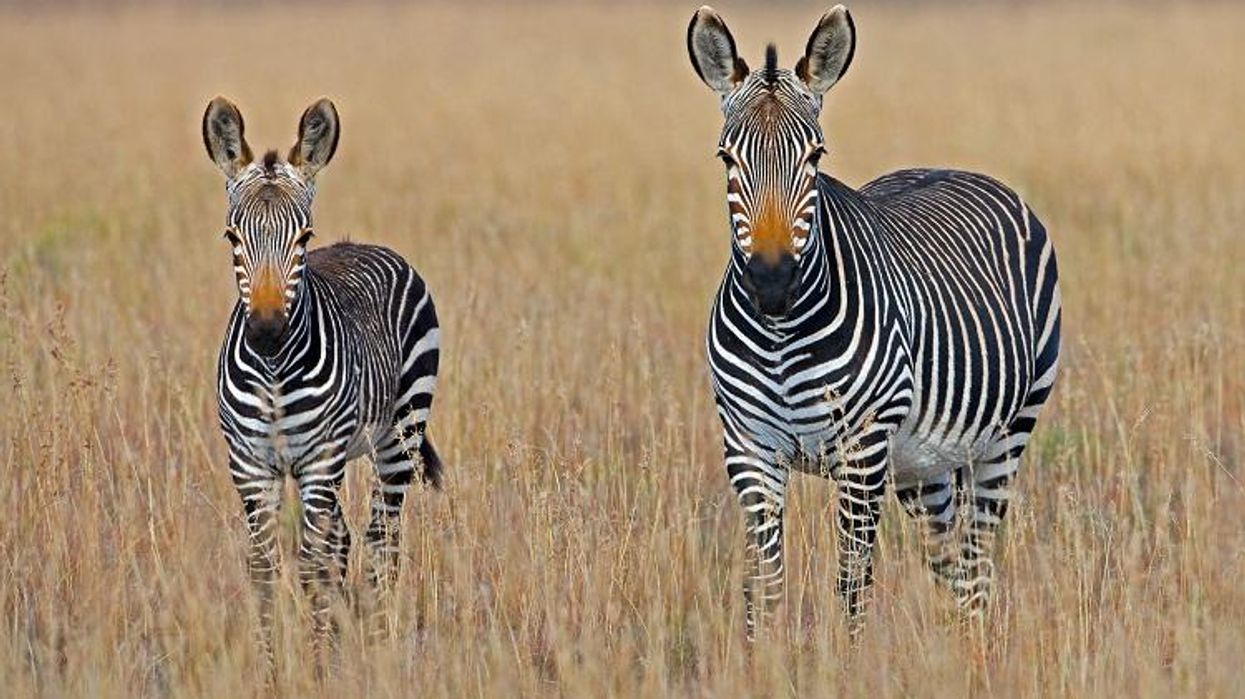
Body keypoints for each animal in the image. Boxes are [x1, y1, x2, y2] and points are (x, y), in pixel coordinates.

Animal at [201, 97, 443, 672]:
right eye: (232, 238)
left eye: (304, 238)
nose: (267, 332)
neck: (272, 372)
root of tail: (365, 245)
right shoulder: (250, 464)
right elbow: (265, 570)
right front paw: (271, 671)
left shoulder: (318, 462)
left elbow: (311, 568)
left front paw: (314, 671)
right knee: (346, 540)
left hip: (399, 437)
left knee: (381, 541)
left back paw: (378, 647)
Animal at [687, 6, 1061, 640]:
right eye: (726, 159)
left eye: (815, 156)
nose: (771, 283)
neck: (780, 336)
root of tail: (953, 166)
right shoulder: (748, 449)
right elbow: (765, 588)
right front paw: (759, 658)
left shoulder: (862, 450)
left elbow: (850, 586)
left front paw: (848, 659)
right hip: (922, 463)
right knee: (949, 558)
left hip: (1008, 433)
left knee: (978, 560)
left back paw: (976, 649)